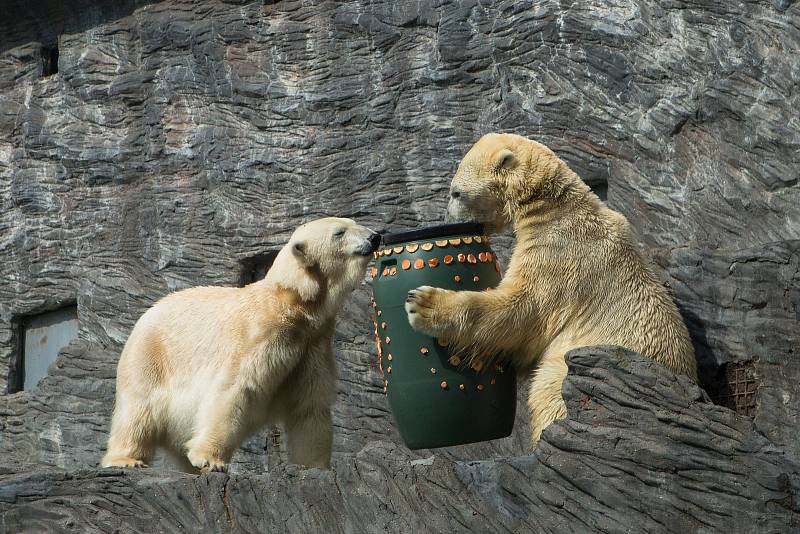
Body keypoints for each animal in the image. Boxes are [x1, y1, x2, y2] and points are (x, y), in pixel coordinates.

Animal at [101, 218, 380, 474]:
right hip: (150, 355)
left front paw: (315, 466)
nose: (375, 236)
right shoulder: (259, 335)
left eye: (353, 222)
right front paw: (210, 460)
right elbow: (236, 389)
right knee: (139, 408)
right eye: (339, 232)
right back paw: (126, 459)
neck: (293, 304)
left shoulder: (312, 344)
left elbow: (309, 403)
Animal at [404, 133, 696, 444]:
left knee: (549, 387)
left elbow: (521, 311)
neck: (555, 207)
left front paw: (423, 303)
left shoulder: (559, 254)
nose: (448, 221)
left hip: (571, 365)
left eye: (456, 193)